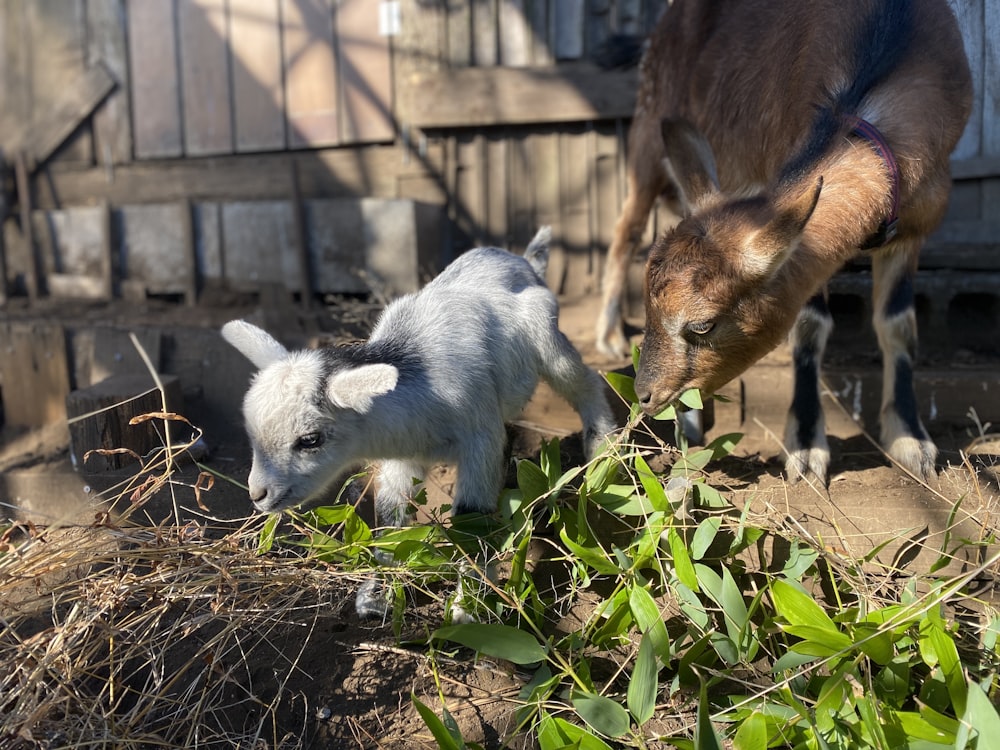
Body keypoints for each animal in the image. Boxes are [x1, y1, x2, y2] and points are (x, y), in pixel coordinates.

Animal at [225, 228, 616, 616]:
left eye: (310, 439)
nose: (258, 494)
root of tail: (521, 260)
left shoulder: (481, 439)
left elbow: (471, 520)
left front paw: (468, 608)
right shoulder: (404, 454)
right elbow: (390, 515)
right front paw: (378, 596)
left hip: (548, 342)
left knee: (586, 382)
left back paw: (605, 446)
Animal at [596, 0, 972, 482]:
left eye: (702, 325)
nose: (644, 395)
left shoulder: (917, 223)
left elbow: (898, 324)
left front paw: (911, 441)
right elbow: (811, 325)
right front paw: (806, 448)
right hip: (647, 130)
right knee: (625, 229)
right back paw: (615, 343)